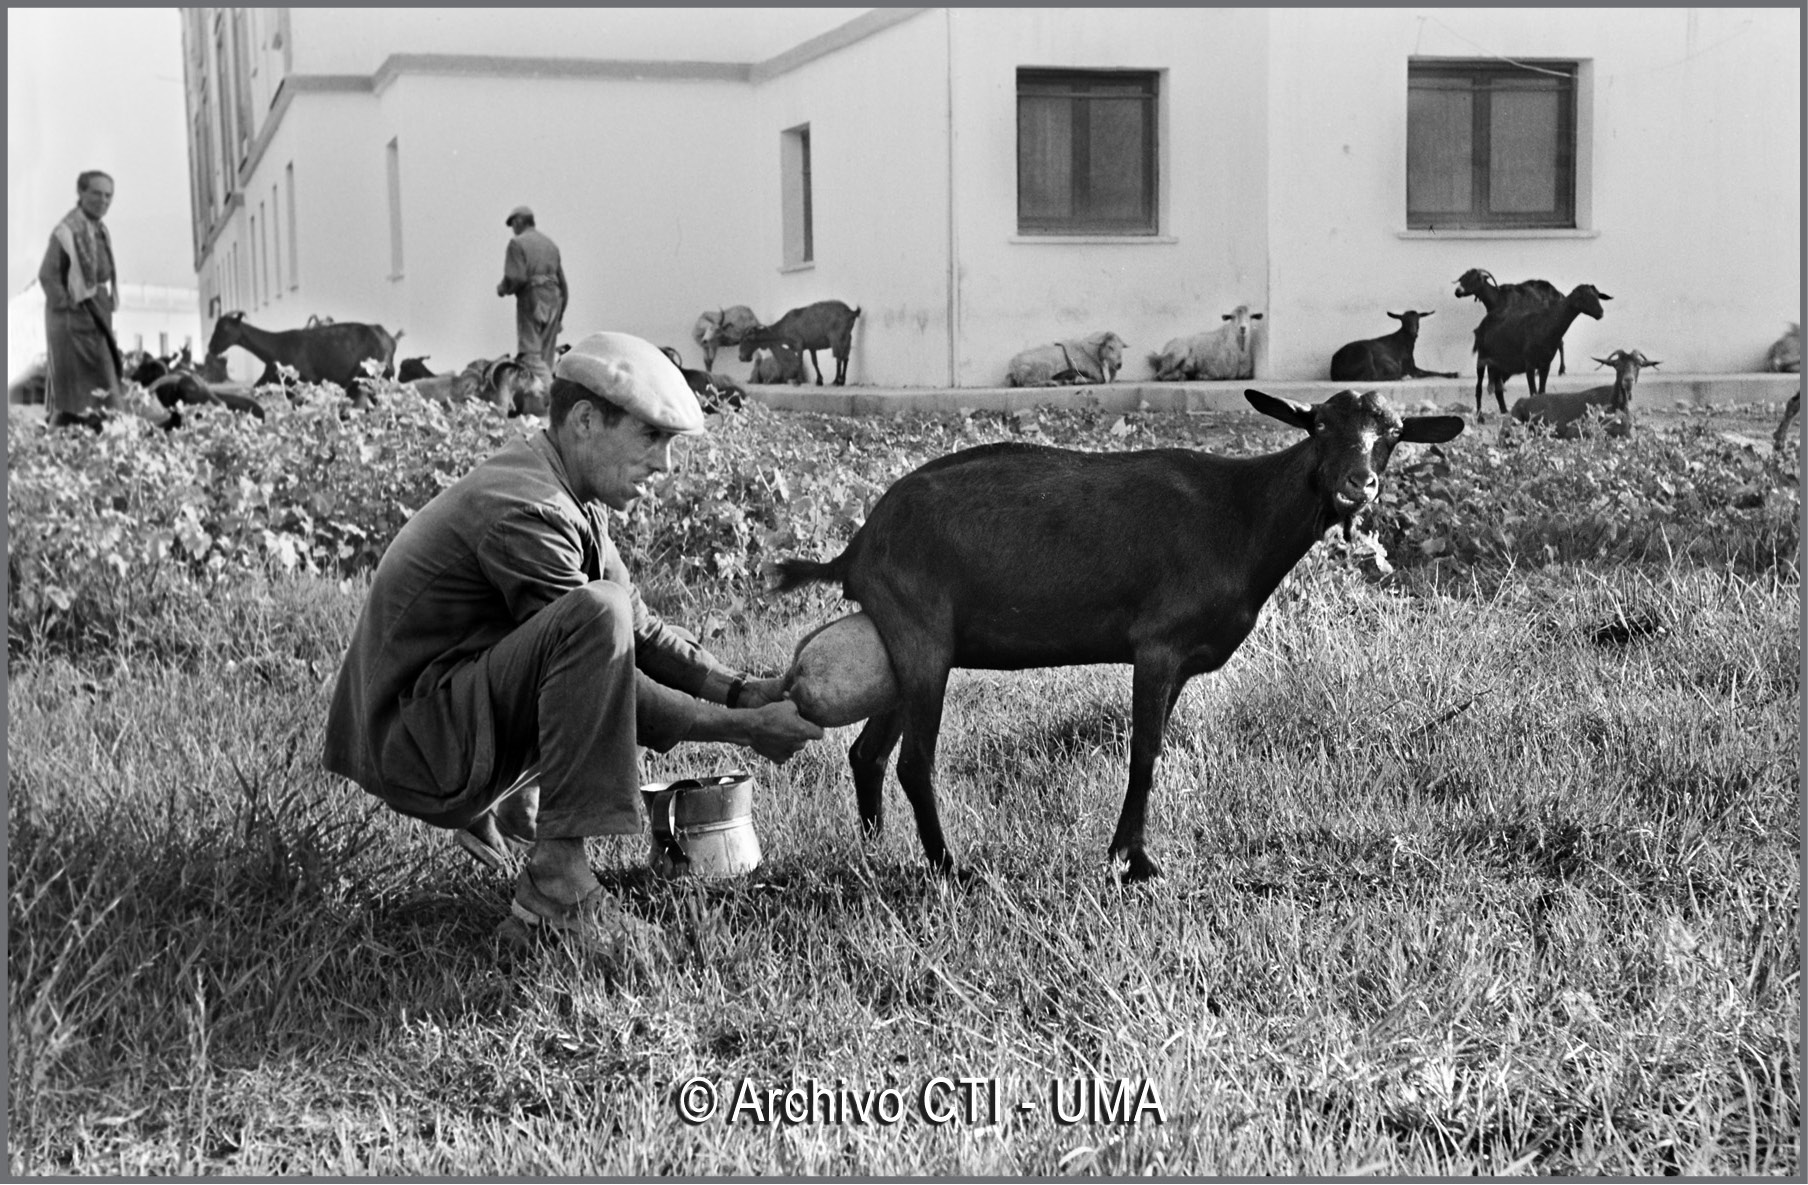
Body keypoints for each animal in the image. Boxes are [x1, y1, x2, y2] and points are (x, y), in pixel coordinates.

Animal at [773, 388, 1468, 879]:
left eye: (1394, 434)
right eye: (1318, 424)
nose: (1359, 483)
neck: (1243, 517)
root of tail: (859, 546)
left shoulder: (1181, 662)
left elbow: (1152, 750)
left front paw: (1125, 854)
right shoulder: (1158, 645)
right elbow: (1145, 753)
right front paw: (1133, 863)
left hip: (901, 648)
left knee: (867, 753)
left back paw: (875, 854)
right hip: (923, 637)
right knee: (914, 760)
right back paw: (949, 868)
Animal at [1468, 285, 1612, 419]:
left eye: (1597, 296)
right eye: (1583, 297)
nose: (1600, 313)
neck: (1546, 325)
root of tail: (1481, 325)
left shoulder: (1545, 364)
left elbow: (1542, 391)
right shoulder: (1530, 364)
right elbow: (1533, 392)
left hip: (1502, 365)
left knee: (1498, 388)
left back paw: (1504, 411)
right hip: (1482, 358)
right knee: (1478, 387)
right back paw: (1480, 417)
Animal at [1504, 347, 1656, 439]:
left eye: (1638, 365)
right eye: (1617, 364)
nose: (1628, 380)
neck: (1615, 405)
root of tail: (1521, 401)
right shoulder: (1575, 431)